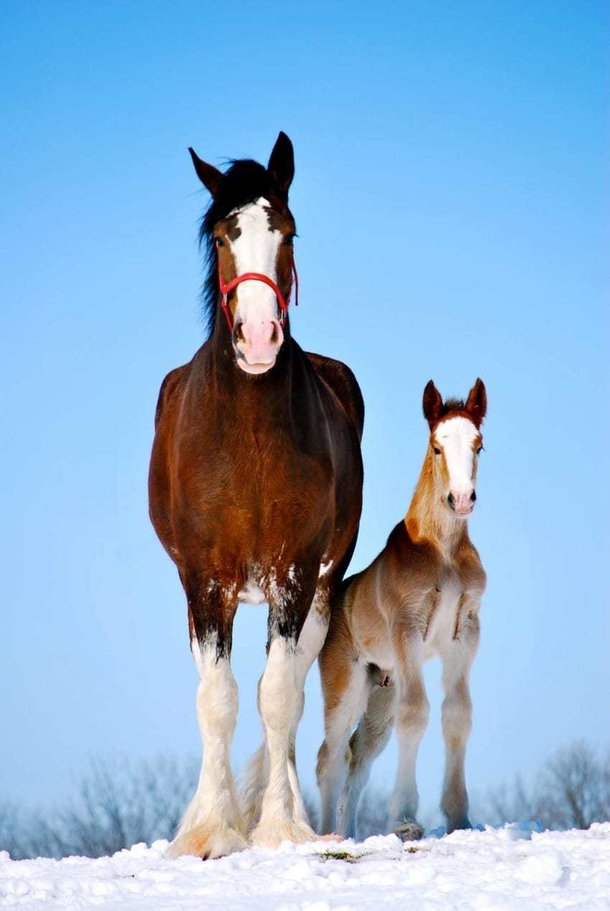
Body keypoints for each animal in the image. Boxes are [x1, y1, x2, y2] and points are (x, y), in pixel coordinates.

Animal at [148, 132, 364, 859]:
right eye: (223, 236)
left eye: (288, 232)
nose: (262, 338)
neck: (245, 436)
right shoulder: (203, 579)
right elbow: (217, 698)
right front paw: (210, 831)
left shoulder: (294, 573)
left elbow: (276, 697)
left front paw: (276, 827)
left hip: (317, 590)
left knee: (289, 691)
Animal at [316, 379, 487, 840]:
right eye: (436, 447)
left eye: (479, 445)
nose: (461, 499)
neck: (443, 553)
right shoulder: (407, 628)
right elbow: (417, 714)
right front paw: (405, 819)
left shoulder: (465, 632)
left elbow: (457, 715)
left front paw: (459, 817)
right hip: (346, 684)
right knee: (330, 755)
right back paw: (326, 834)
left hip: (383, 689)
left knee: (360, 753)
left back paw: (350, 833)